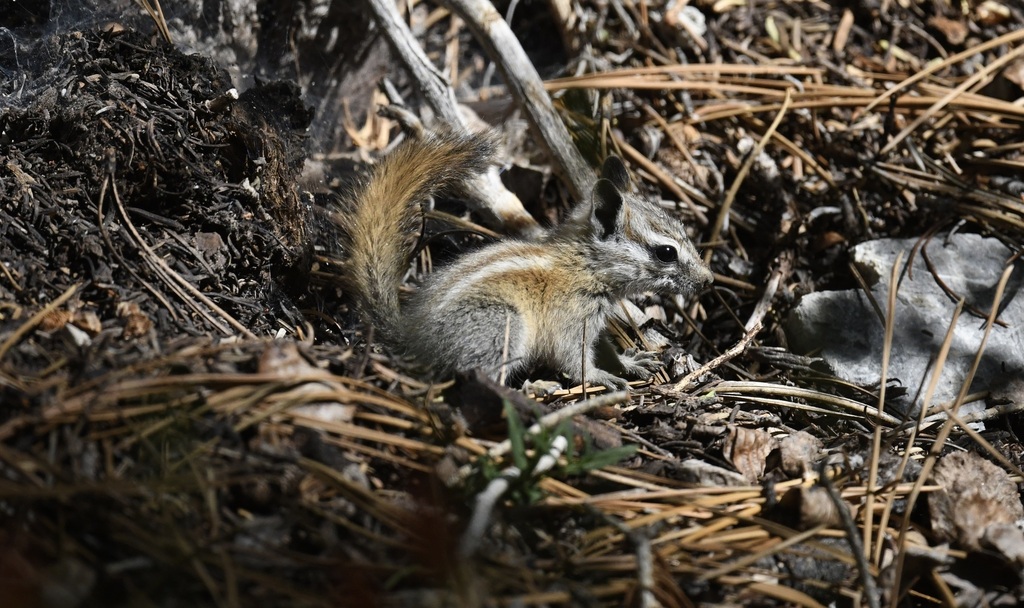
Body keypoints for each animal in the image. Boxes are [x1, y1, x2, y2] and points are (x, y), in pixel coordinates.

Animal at [334, 131, 713, 390]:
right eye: (666, 253)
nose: (708, 280)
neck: (585, 265)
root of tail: (411, 337)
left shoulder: (593, 323)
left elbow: (602, 347)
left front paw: (629, 362)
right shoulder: (571, 321)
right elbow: (574, 359)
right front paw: (600, 377)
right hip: (501, 325)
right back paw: (535, 387)